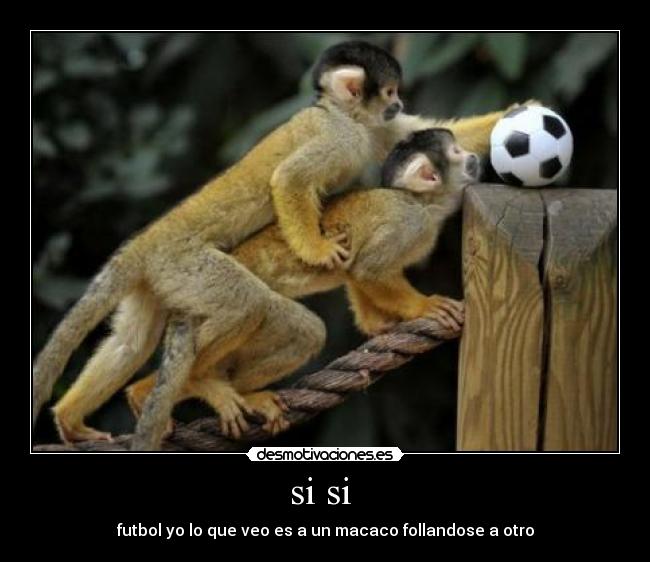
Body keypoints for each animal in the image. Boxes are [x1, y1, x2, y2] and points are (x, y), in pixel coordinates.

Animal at [125, 128, 477, 438]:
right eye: (456, 153)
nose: (473, 157)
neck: (424, 203)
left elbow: (353, 271)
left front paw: (378, 325)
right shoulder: (409, 223)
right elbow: (369, 270)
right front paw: (424, 307)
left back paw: (152, 392)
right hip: (239, 308)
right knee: (303, 331)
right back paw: (206, 386)